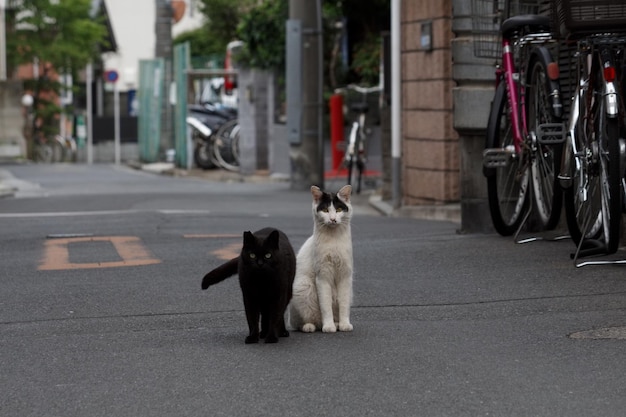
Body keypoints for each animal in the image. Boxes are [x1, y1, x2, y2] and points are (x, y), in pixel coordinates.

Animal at [288, 184, 352, 332]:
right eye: (325, 210)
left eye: (339, 210)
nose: (333, 219)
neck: (333, 240)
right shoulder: (322, 275)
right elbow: (325, 305)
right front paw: (328, 326)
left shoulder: (345, 275)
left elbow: (344, 303)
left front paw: (345, 324)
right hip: (303, 287)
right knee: (301, 323)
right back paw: (311, 326)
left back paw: (337, 323)